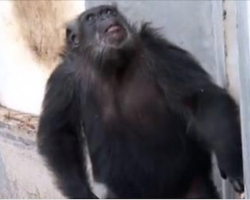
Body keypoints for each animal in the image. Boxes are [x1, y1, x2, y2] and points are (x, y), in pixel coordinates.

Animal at [37, 4, 244, 198]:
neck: (110, 64)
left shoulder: (160, 52)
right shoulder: (63, 79)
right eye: (90, 18)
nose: (105, 16)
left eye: (108, 11)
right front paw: (82, 193)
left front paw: (232, 163)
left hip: (194, 185)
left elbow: (201, 98)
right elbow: (60, 132)